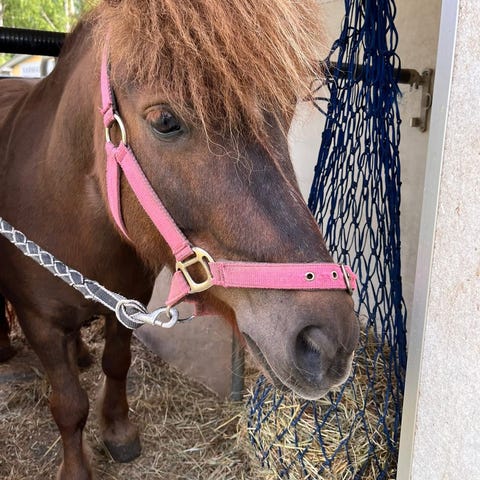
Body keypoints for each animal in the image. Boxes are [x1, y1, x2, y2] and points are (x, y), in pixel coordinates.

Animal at [0, 1, 359, 478]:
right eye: (165, 121)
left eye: (282, 114)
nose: (327, 341)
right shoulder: (39, 322)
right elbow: (69, 405)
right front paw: (77, 467)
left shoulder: (126, 306)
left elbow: (118, 365)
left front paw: (119, 432)